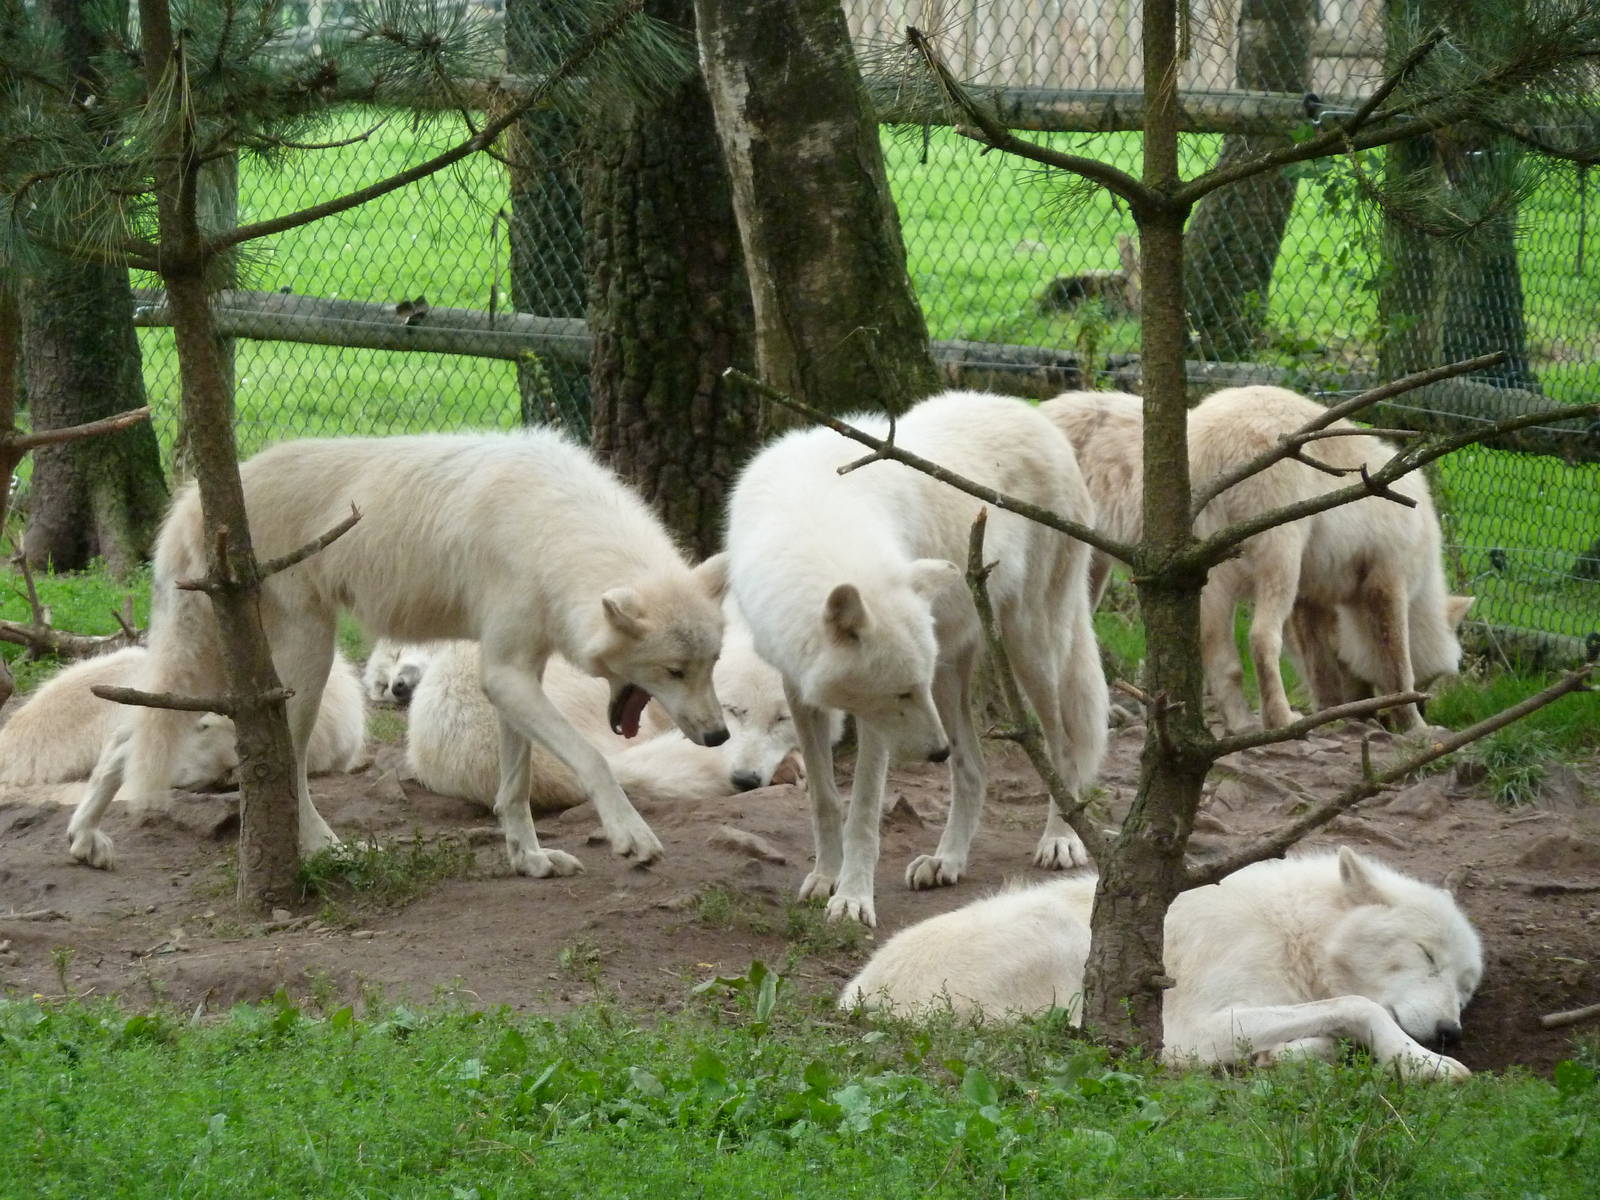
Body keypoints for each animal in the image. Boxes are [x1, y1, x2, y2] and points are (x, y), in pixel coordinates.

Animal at [66, 430, 730, 877]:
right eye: (673, 671)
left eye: (711, 665)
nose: (720, 735)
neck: (550, 526)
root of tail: (189, 503)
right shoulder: (505, 675)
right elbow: (594, 760)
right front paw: (630, 835)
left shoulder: (516, 674)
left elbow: (513, 789)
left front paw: (530, 860)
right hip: (301, 667)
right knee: (286, 768)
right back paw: (322, 848)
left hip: (221, 665)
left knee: (128, 736)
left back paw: (83, 838)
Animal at [727, 389, 1107, 927]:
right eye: (903, 692)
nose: (936, 752)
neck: (812, 518)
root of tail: (1035, 415)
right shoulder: (798, 688)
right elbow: (824, 799)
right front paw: (824, 878)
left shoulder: (874, 719)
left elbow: (864, 812)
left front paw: (853, 898)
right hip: (951, 670)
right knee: (974, 770)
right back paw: (947, 860)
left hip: (1030, 647)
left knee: (1066, 748)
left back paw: (1060, 839)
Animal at [840, 847, 1481, 1079]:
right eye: (1426, 955)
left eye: (1466, 986)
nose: (1450, 1031)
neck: (1292, 930)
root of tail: (854, 993)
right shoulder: (1192, 1029)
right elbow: (1359, 1005)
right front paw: (1424, 1064)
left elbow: (1331, 1021)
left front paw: (1289, 1054)